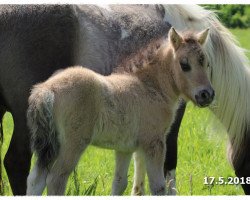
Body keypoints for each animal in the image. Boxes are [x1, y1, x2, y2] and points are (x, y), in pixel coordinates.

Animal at [25, 28, 213, 195]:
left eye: (206, 63)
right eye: (184, 64)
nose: (207, 95)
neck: (150, 87)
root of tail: (47, 89)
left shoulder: (125, 148)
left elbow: (119, 183)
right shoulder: (154, 142)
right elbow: (158, 187)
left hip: (50, 144)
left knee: (36, 179)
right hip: (73, 144)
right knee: (56, 179)